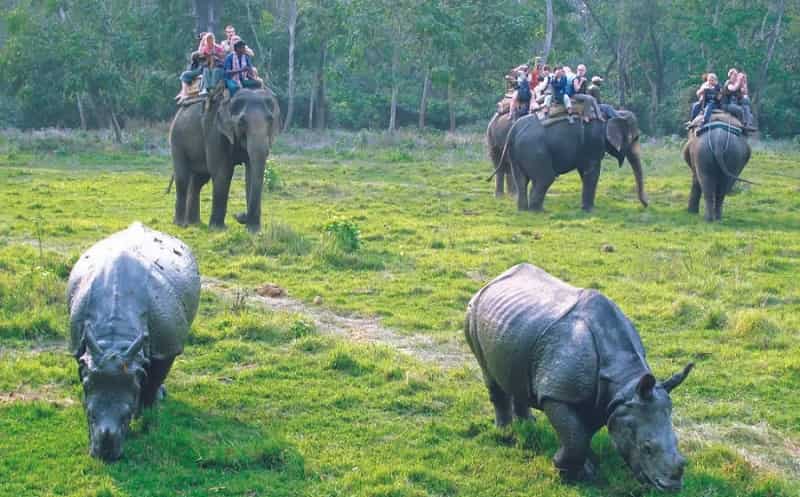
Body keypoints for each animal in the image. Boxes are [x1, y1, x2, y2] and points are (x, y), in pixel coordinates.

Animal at [169, 87, 282, 232]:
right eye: (241, 122)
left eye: (270, 120)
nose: (240, 215)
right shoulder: (215, 131)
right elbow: (223, 172)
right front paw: (218, 229)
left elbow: (251, 172)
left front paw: (254, 230)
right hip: (177, 140)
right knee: (182, 178)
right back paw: (181, 224)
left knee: (199, 180)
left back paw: (194, 223)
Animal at [506, 109, 648, 210]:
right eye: (636, 138)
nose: (646, 205)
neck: (614, 113)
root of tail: (513, 131)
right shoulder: (594, 143)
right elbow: (592, 172)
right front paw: (590, 210)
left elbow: (584, 172)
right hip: (534, 150)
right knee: (546, 177)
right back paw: (538, 211)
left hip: (517, 154)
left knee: (521, 180)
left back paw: (524, 209)